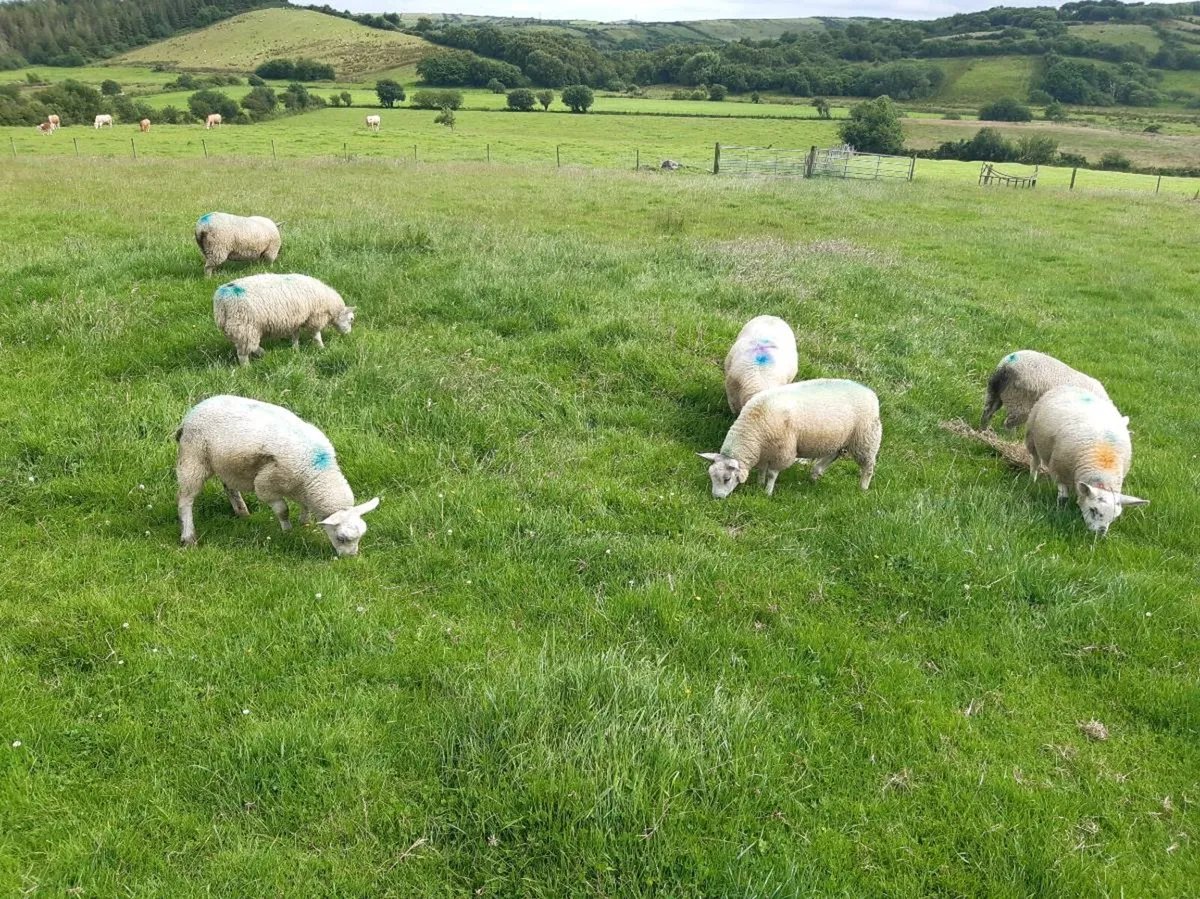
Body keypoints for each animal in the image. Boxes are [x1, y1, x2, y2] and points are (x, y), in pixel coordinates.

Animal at [176, 395, 380, 556]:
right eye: (341, 538)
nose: (351, 558)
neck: (316, 473)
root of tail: (193, 411)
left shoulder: (301, 487)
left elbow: (305, 507)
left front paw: (305, 523)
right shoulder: (266, 486)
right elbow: (283, 510)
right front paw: (287, 531)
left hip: (227, 464)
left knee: (229, 487)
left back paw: (242, 512)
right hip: (193, 457)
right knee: (185, 499)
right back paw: (188, 537)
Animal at [213, 273, 355, 365]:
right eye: (351, 319)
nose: (348, 334)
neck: (330, 304)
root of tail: (221, 300)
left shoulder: (297, 318)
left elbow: (295, 334)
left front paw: (295, 349)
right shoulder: (314, 317)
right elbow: (316, 335)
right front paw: (321, 348)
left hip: (237, 328)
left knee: (246, 346)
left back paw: (263, 353)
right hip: (245, 325)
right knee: (244, 353)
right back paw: (247, 367)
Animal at [699, 379, 882, 498]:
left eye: (727, 478)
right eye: (711, 475)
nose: (716, 498)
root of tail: (870, 392)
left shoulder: (783, 452)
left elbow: (772, 474)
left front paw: (767, 492)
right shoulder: (764, 451)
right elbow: (762, 469)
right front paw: (759, 483)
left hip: (866, 439)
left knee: (868, 466)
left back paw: (863, 488)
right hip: (840, 438)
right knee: (833, 454)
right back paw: (815, 474)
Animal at [1025, 385, 1147, 535]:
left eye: (1114, 517)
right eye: (1093, 510)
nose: (1100, 534)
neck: (1103, 466)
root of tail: (1070, 386)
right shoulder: (1060, 470)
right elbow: (1063, 496)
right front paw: (1061, 509)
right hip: (1031, 435)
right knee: (1035, 460)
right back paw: (1032, 479)